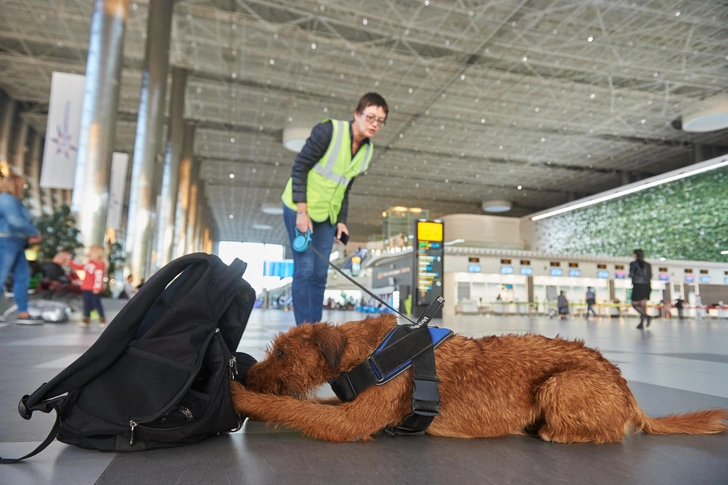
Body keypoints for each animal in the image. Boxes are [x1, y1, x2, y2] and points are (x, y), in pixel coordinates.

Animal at [232, 314, 728, 442]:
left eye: (281, 352)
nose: (249, 370)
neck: (372, 349)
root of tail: (627, 390)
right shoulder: (348, 407)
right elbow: (305, 405)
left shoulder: (350, 424)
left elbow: (292, 407)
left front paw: (240, 397)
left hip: (562, 384)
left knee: (609, 432)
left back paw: (556, 433)